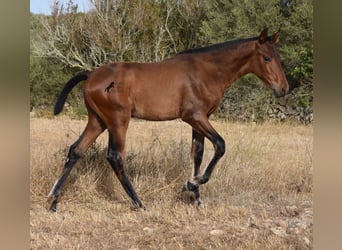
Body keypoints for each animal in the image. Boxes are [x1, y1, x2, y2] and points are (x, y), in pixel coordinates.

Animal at [47, 27, 288, 211]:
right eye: (266, 57)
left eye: (278, 57)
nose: (283, 89)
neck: (207, 71)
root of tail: (90, 75)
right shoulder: (194, 117)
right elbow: (220, 145)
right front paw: (192, 183)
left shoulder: (200, 120)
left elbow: (198, 154)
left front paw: (196, 196)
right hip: (118, 121)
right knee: (115, 157)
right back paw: (138, 203)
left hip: (98, 121)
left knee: (76, 150)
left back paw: (53, 201)